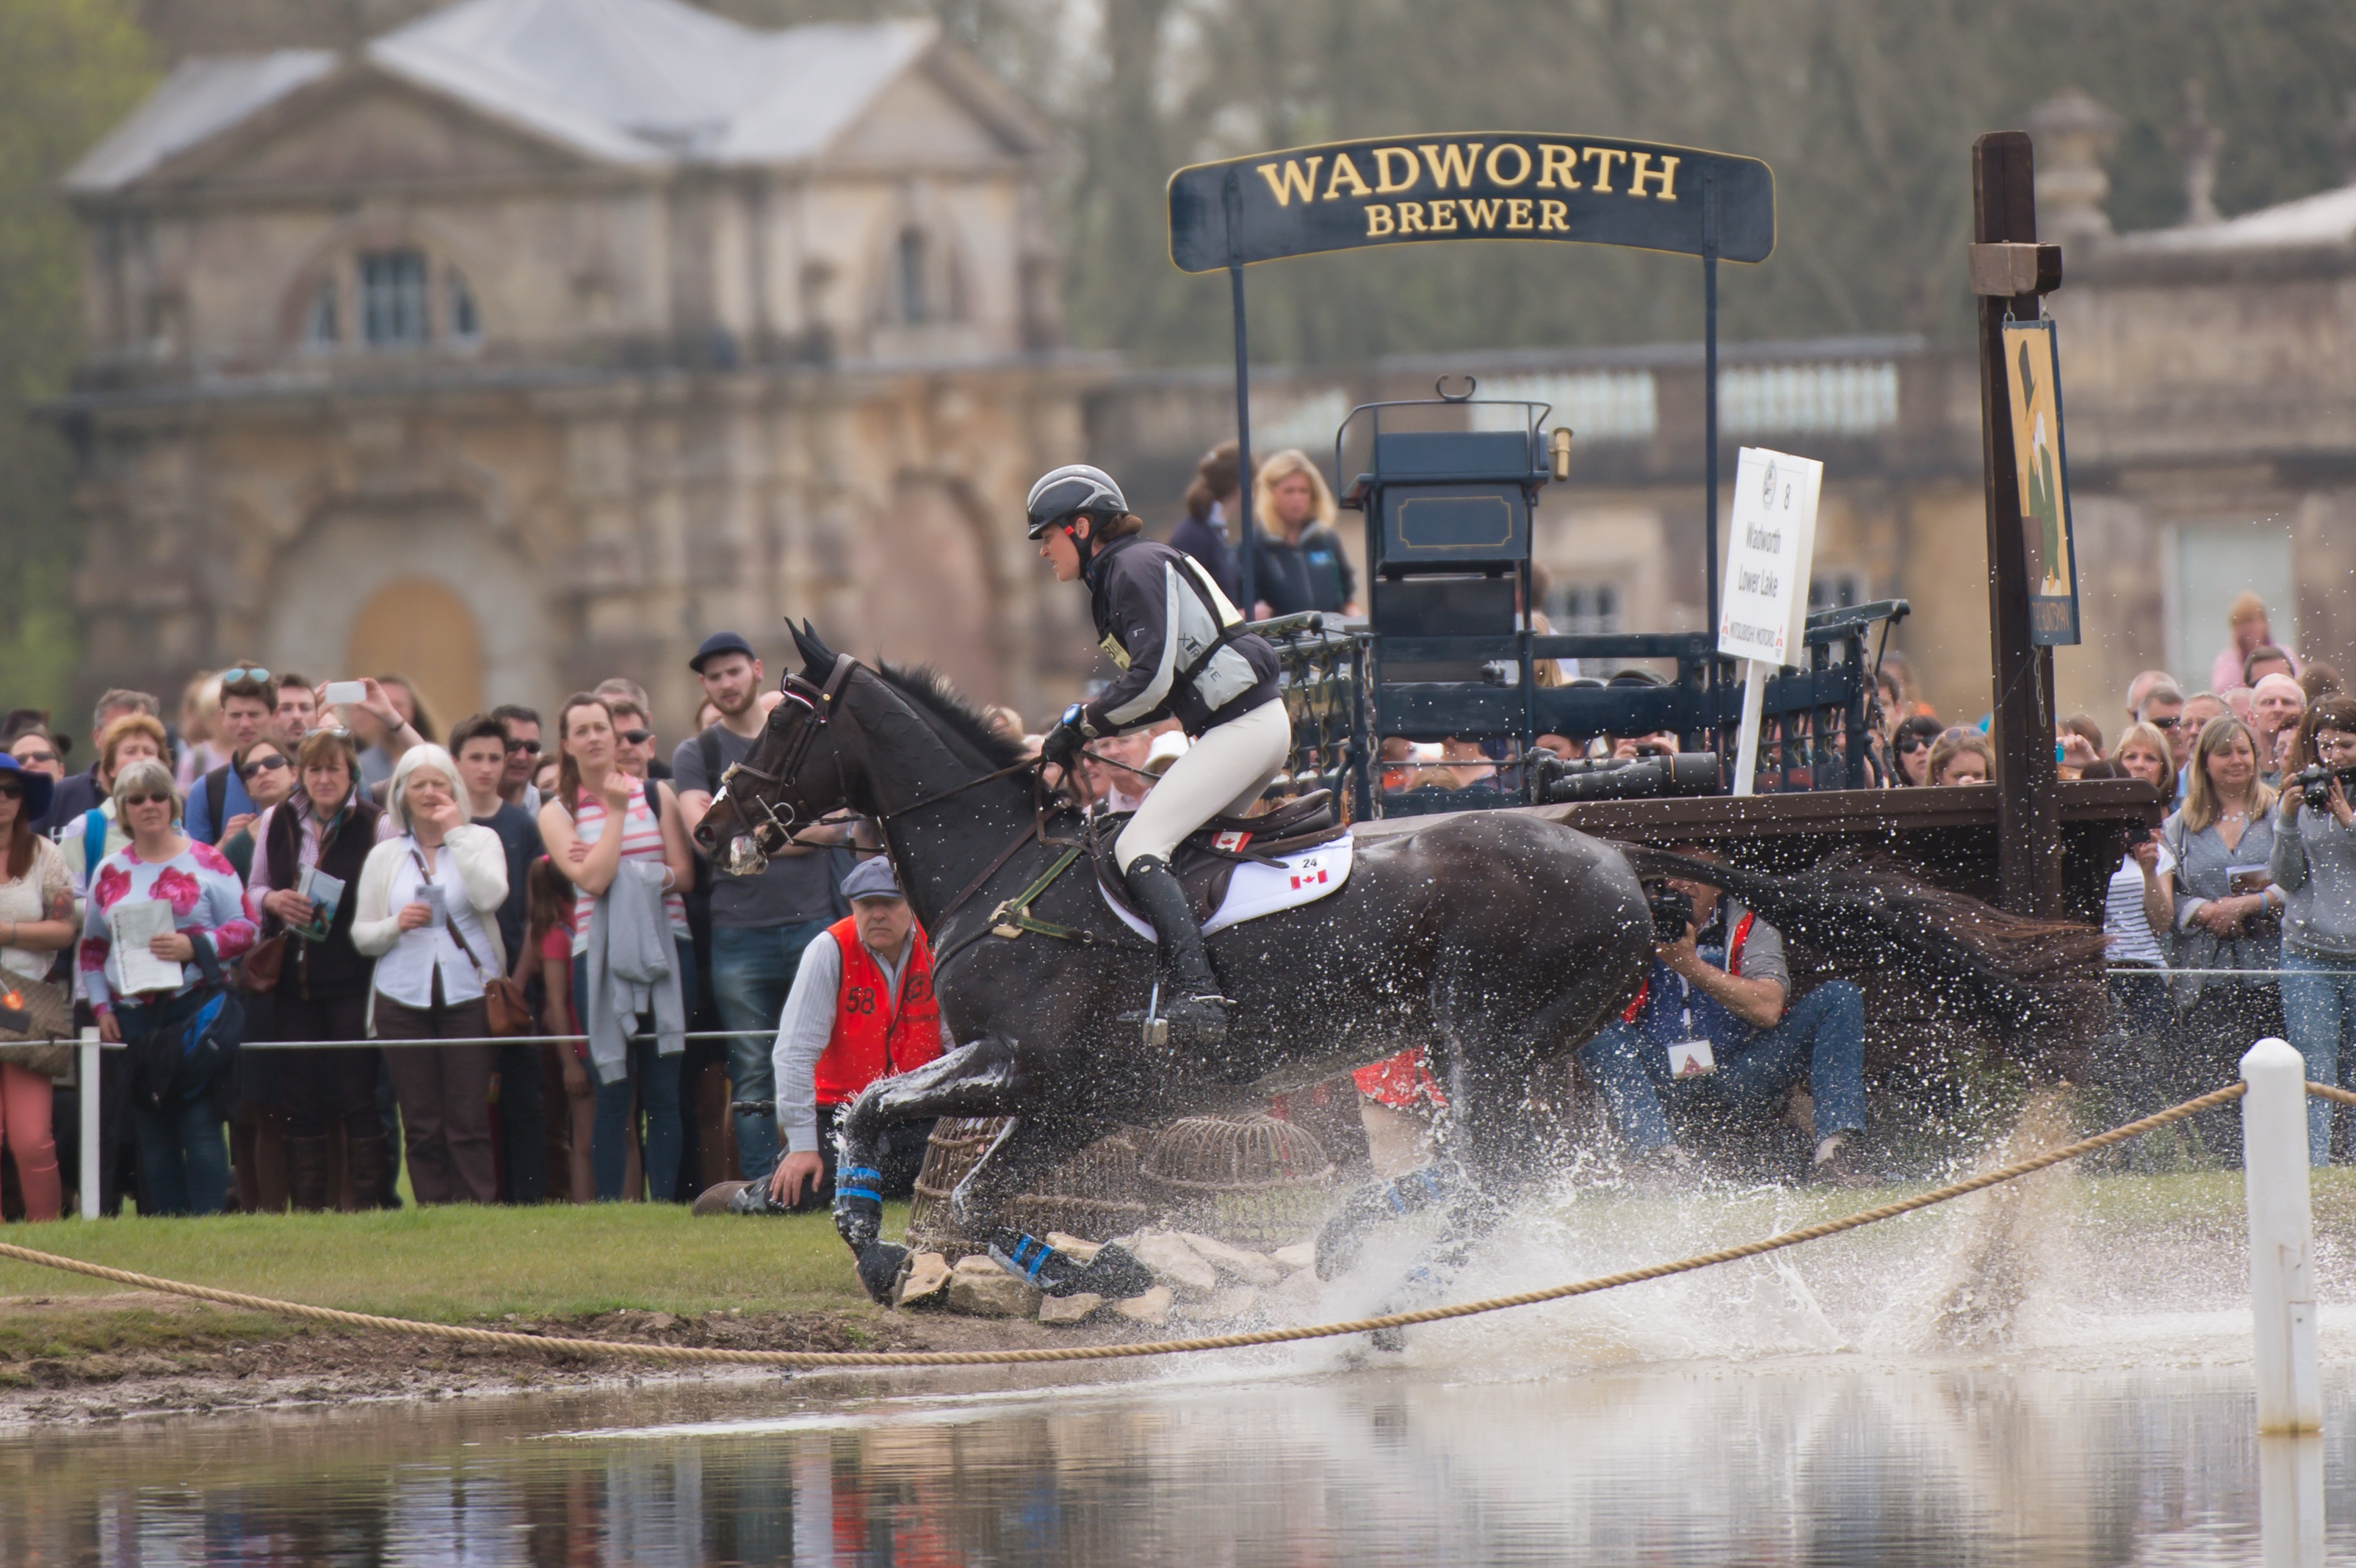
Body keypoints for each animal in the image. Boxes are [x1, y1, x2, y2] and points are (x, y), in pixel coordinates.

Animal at [693, 621, 1658, 1290]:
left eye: (782, 722)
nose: (708, 828)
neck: (1000, 869)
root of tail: (1616, 857)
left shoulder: (1024, 1066)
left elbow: (880, 1113)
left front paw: (887, 1250)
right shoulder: (1068, 1102)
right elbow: (949, 1175)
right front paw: (1081, 1270)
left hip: (1484, 1037)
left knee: (1491, 1174)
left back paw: (1391, 1289)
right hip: (1516, 1046)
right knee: (1492, 1170)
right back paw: (1355, 1241)